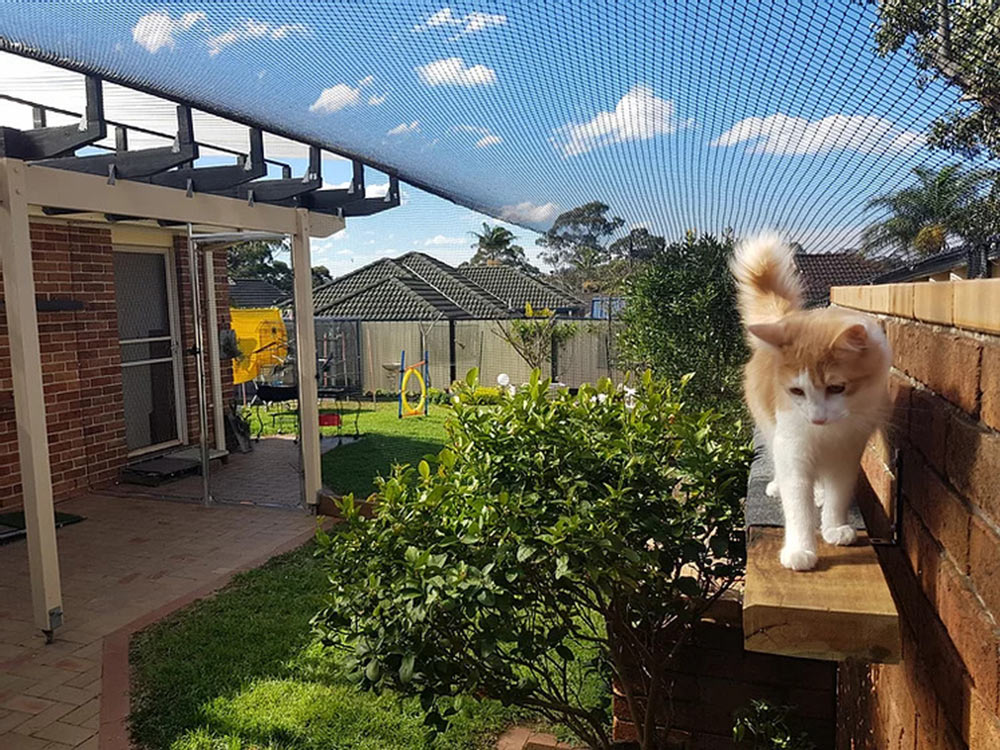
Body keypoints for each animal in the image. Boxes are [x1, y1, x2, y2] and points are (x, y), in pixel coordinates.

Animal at [732, 232, 888, 572]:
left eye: (836, 388)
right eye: (797, 392)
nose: (817, 418)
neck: (825, 434)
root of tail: (786, 318)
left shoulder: (847, 452)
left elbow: (838, 494)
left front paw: (834, 526)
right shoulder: (794, 449)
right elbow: (797, 506)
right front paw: (800, 549)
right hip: (771, 429)